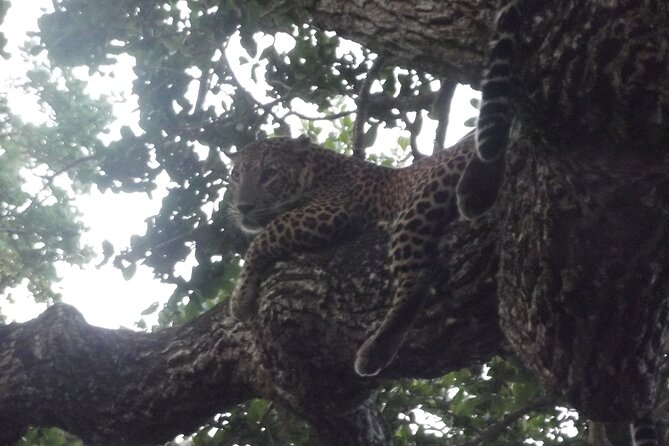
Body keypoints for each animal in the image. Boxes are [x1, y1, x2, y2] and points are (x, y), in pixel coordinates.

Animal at [227, 133, 475, 376]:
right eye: (236, 176)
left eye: (269, 174)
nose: (242, 207)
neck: (320, 170)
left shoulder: (331, 211)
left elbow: (265, 235)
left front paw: (239, 297)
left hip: (418, 204)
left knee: (417, 280)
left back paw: (374, 352)